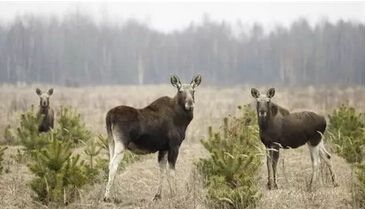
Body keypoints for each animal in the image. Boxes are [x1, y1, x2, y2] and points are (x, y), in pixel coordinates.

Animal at [103, 74, 203, 202]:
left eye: (193, 90)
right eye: (180, 91)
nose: (190, 104)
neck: (182, 120)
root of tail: (109, 116)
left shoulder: (163, 148)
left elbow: (162, 170)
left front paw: (158, 195)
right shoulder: (174, 145)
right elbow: (171, 171)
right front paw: (174, 194)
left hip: (111, 141)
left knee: (110, 163)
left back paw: (115, 196)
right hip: (121, 143)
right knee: (114, 165)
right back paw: (107, 196)